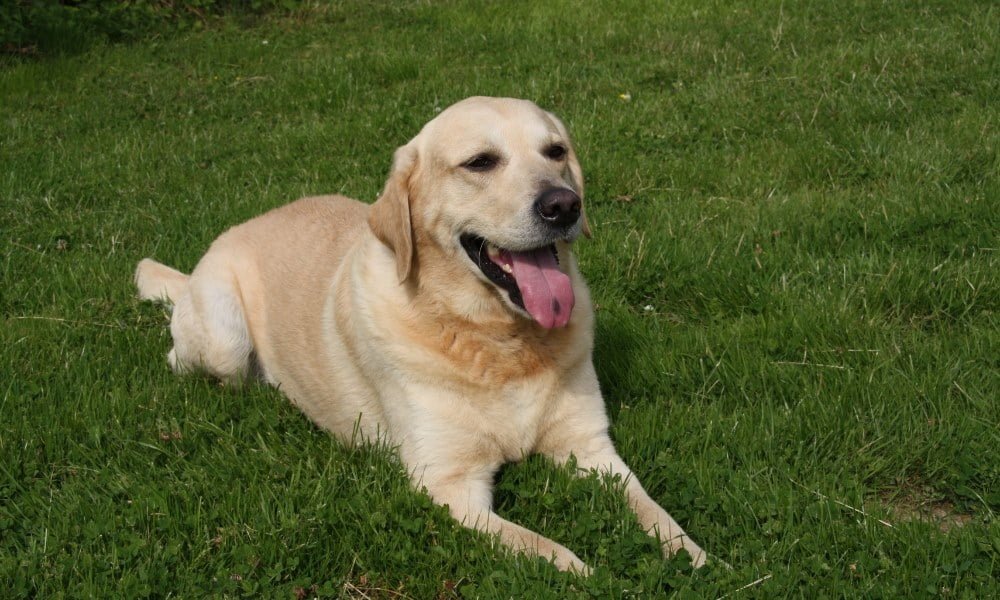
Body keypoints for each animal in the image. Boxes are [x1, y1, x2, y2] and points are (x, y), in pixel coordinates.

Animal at [137, 95, 708, 572]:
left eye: (555, 151)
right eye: (480, 162)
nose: (564, 204)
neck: (494, 337)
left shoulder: (591, 449)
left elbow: (653, 510)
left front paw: (695, 556)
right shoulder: (449, 485)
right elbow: (546, 549)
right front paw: (592, 573)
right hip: (224, 342)